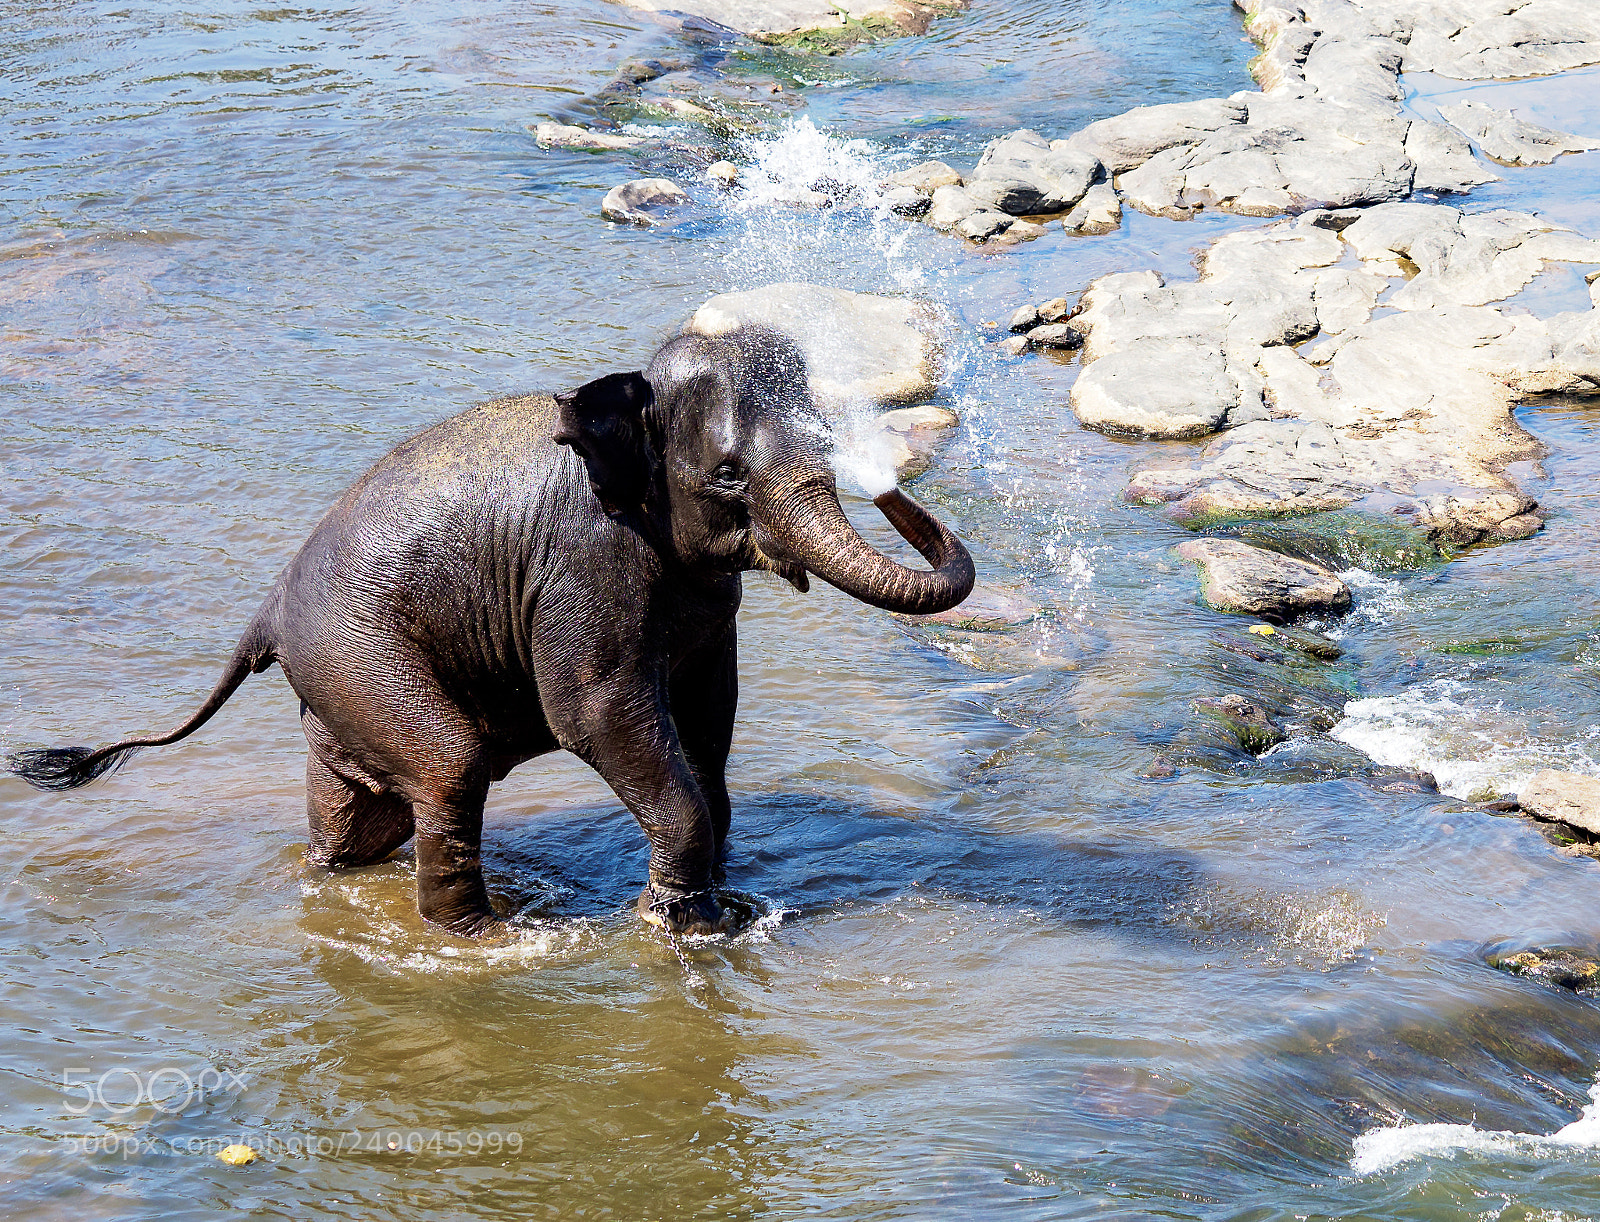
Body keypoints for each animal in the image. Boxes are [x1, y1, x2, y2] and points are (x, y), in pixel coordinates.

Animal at [7, 325, 974, 937]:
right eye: (730, 475)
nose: (887, 483)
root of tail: (266, 613)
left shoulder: (703, 601)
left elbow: (709, 716)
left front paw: (716, 906)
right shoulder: (586, 569)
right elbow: (597, 716)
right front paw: (683, 928)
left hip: (336, 680)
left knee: (359, 812)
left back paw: (343, 880)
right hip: (362, 654)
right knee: (448, 765)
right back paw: (485, 938)